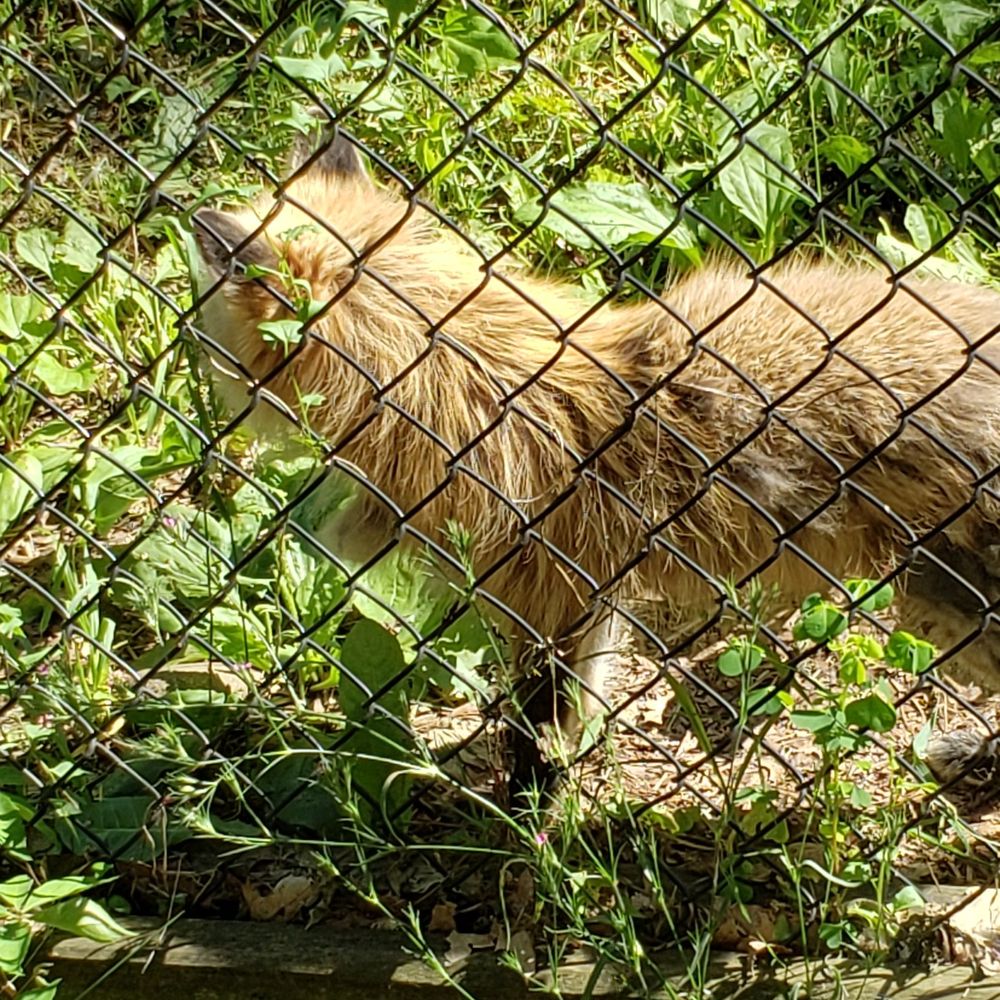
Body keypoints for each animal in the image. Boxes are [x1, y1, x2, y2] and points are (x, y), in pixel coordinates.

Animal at [191, 129, 1000, 803]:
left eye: (203, 306)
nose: (183, 345)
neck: (452, 379)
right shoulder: (592, 594)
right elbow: (578, 709)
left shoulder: (542, 598)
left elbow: (534, 729)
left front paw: (529, 823)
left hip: (947, 604)